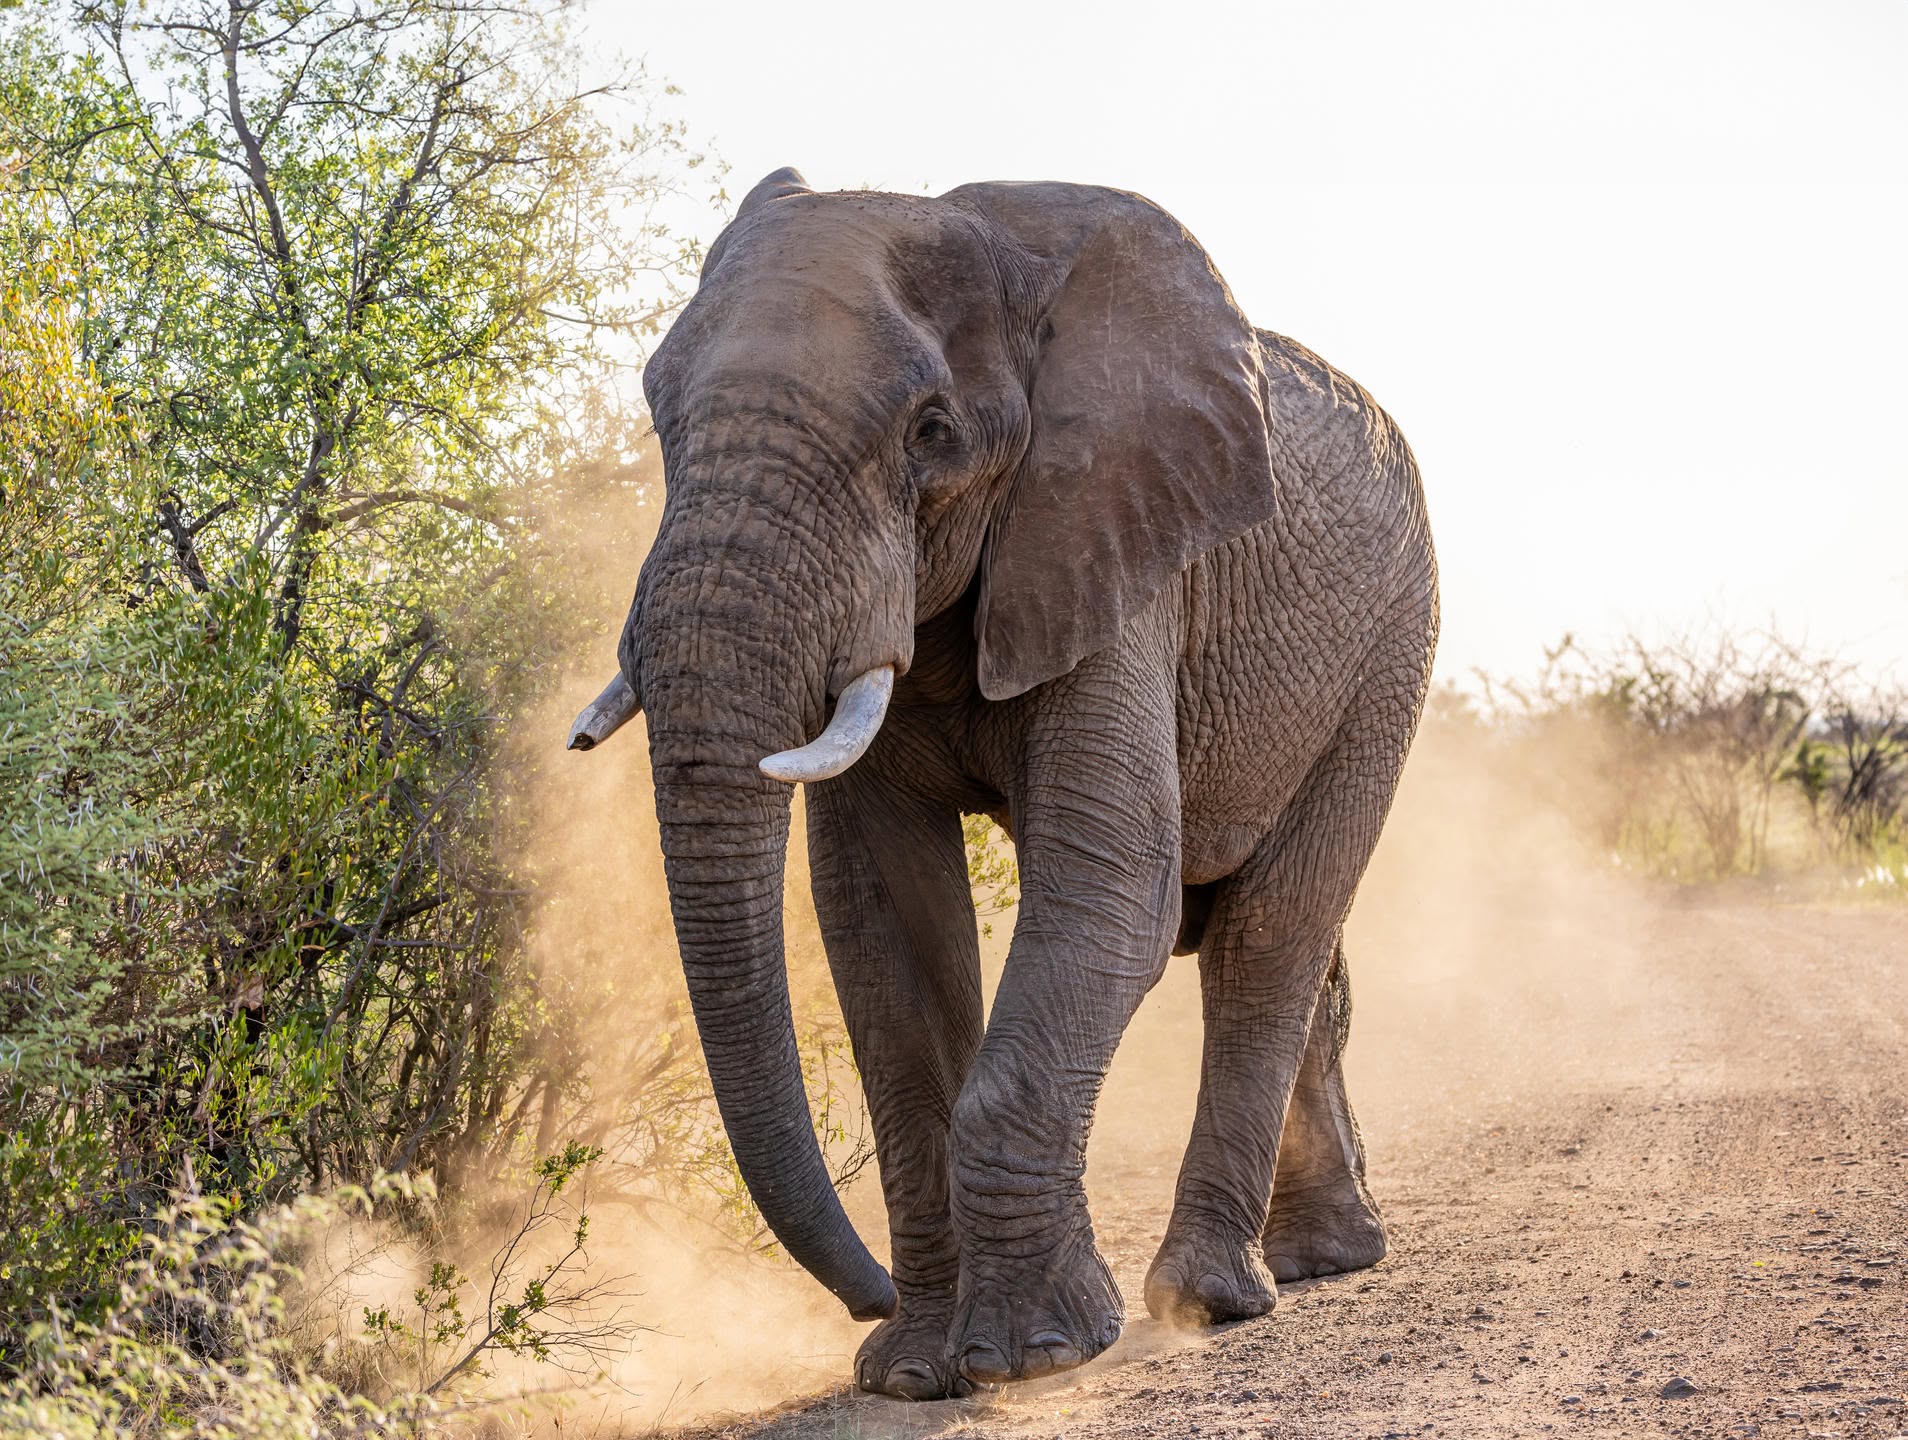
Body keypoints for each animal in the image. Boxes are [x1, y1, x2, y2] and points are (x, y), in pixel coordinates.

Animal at [569, 167, 1437, 1400]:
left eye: (931, 434)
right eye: (658, 413)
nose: (868, 1294)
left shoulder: (1119, 550)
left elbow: (1110, 888)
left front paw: (1037, 1354)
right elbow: (881, 915)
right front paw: (911, 1372)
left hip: (1389, 654)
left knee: (1268, 932)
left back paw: (1212, 1298)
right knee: (1286, 939)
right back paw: (1323, 1259)